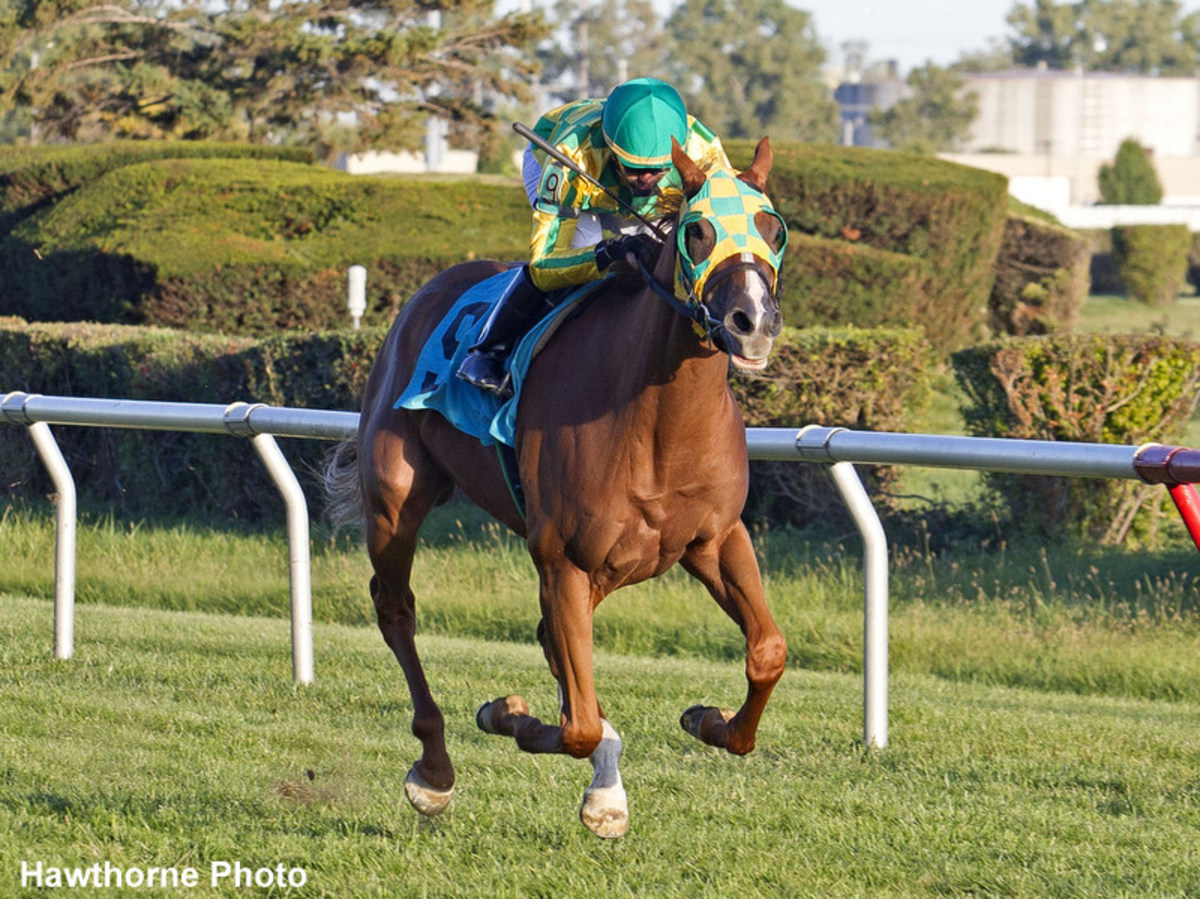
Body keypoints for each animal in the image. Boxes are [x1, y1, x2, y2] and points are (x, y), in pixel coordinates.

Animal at [324, 138, 787, 835]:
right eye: (697, 231)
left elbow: (767, 651)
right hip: (395, 500)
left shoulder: (714, 540)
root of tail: (430, 290)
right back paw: (434, 772)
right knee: (396, 609)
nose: (751, 321)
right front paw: (506, 714)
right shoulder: (565, 558)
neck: (657, 423)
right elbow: (576, 724)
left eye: (773, 229)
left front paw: (706, 721)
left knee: (553, 648)